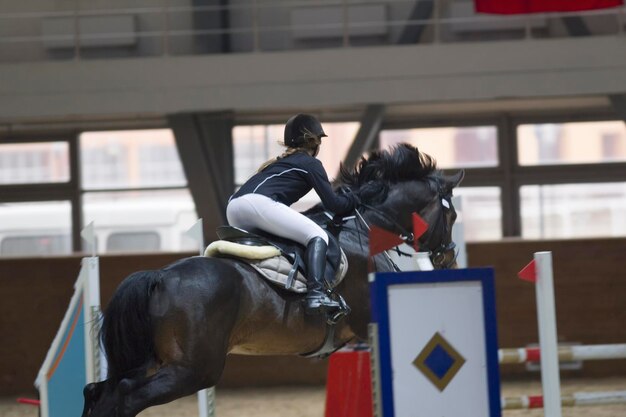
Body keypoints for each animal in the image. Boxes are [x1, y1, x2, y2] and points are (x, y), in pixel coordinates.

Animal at [81, 141, 464, 414]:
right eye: (452, 215)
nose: (448, 259)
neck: (365, 227)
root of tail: (159, 276)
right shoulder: (370, 319)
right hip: (193, 369)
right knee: (125, 396)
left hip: (153, 362)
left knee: (101, 392)